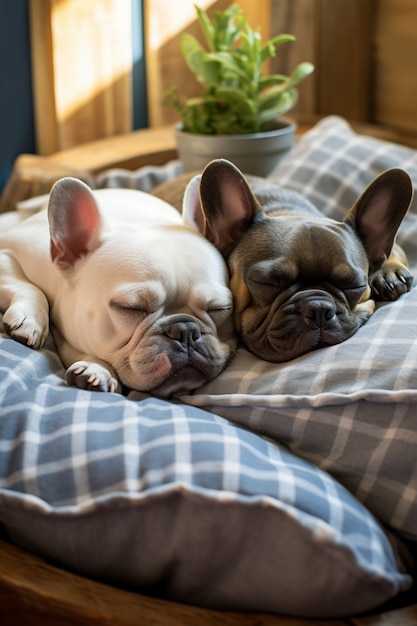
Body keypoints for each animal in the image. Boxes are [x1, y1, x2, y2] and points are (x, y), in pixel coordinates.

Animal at [0, 179, 234, 394]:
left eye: (220, 309)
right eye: (131, 308)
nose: (185, 330)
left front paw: (97, 368)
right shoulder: (8, 251)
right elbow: (26, 285)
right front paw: (31, 318)